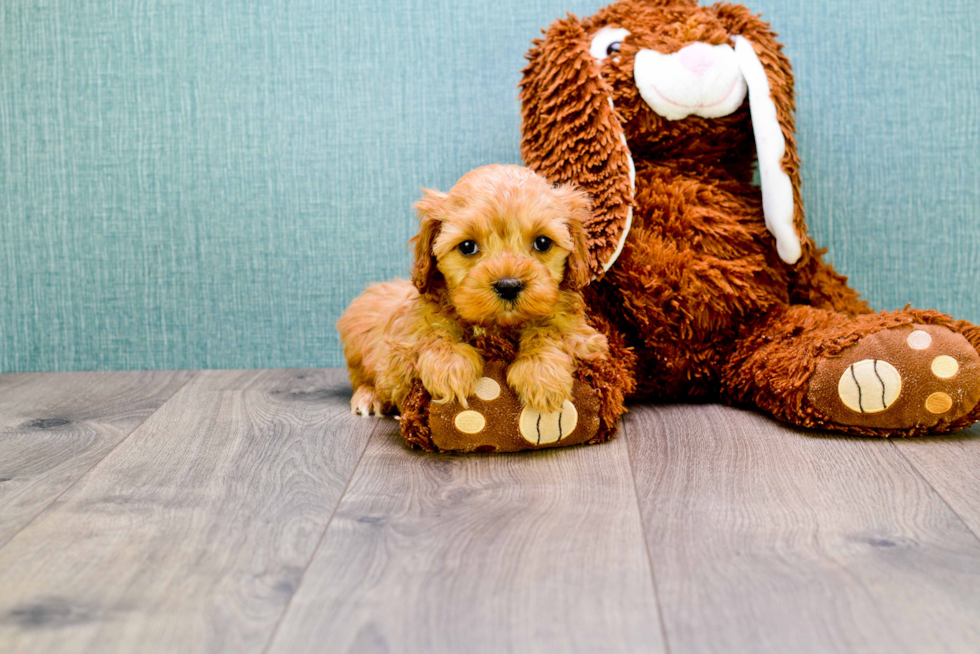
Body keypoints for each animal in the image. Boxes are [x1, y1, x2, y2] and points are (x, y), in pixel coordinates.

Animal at [340, 167, 608, 418]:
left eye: (543, 243)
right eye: (467, 246)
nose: (508, 285)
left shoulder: (587, 338)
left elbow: (552, 331)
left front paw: (541, 372)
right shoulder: (398, 353)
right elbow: (429, 335)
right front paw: (450, 366)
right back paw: (368, 397)